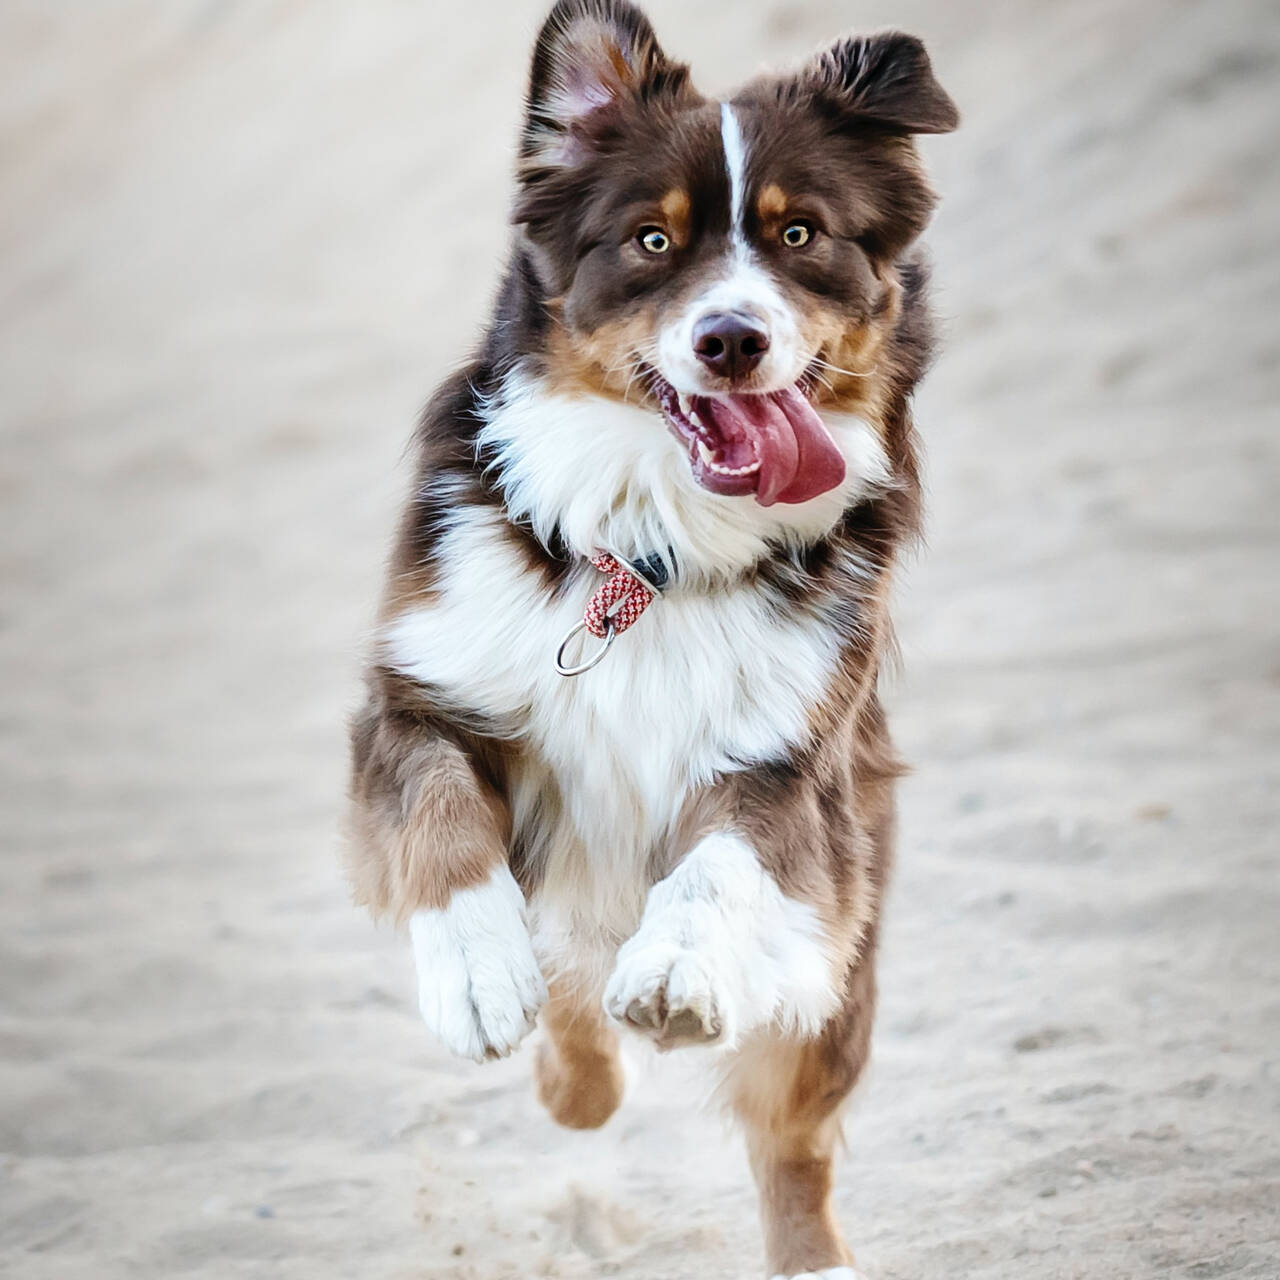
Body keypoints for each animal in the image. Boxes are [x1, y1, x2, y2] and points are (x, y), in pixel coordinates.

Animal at [345, 5, 957, 1274]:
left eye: (797, 232)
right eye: (649, 240)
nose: (730, 339)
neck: (649, 550)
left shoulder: (788, 763)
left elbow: (718, 861)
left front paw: (674, 968)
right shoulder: (419, 695)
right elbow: (438, 816)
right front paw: (476, 973)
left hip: (837, 961)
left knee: (791, 1144)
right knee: (576, 1005)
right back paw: (565, 1062)